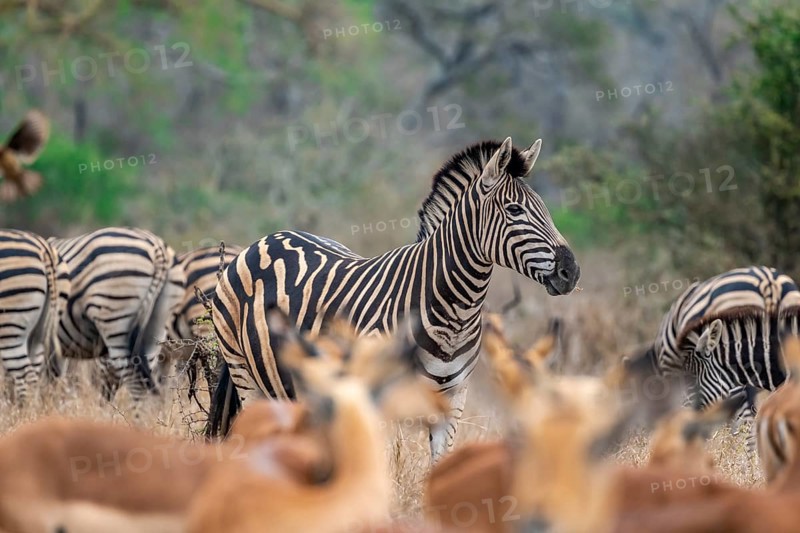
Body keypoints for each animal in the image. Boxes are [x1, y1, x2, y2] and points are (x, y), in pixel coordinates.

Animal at [208, 137, 581, 461]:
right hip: (243, 372)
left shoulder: (453, 401)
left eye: (544, 208)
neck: (455, 310)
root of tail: (266, 239)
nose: (572, 272)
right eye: (514, 210)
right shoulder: (379, 400)